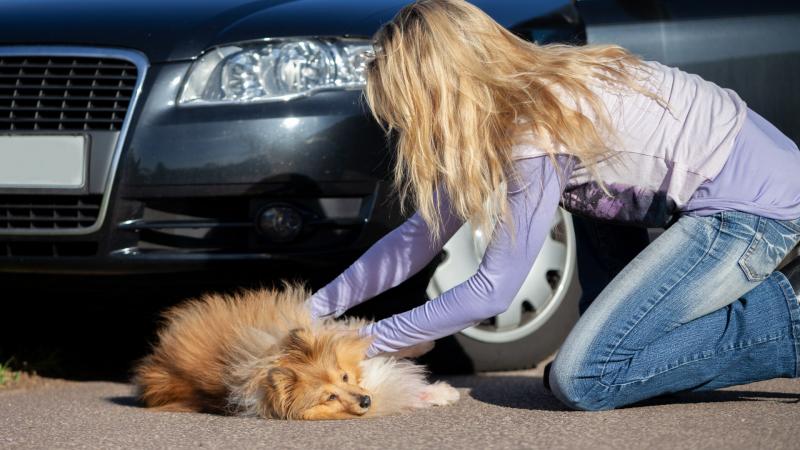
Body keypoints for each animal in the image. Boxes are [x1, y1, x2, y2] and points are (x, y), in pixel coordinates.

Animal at [134, 280, 460, 420]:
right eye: (329, 397)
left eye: (344, 377)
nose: (365, 400)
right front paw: (442, 393)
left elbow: (360, 335)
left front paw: (424, 344)